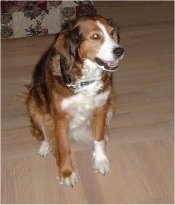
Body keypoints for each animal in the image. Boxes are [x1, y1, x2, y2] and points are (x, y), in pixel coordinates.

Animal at [26, 14, 124, 187]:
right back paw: (45, 146)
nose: (120, 51)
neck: (83, 80)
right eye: (95, 37)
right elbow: (64, 148)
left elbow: (98, 138)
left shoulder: (101, 108)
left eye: (112, 33)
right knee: (41, 131)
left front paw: (101, 161)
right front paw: (67, 173)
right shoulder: (60, 119)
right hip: (33, 102)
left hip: (110, 106)